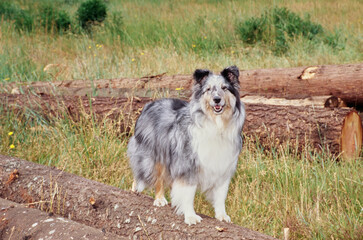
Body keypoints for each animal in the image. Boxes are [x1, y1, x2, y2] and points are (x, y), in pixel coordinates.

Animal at [126, 65, 246, 225]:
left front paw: (222, 215)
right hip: (154, 154)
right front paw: (190, 216)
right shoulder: (188, 166)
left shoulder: (223, 166)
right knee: (152, 176)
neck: (216, 125)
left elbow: (220, 195)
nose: (217, 99)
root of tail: (149, 104)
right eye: (208, 89)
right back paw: (155, 197)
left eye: (224, 88)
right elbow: (188, 194)